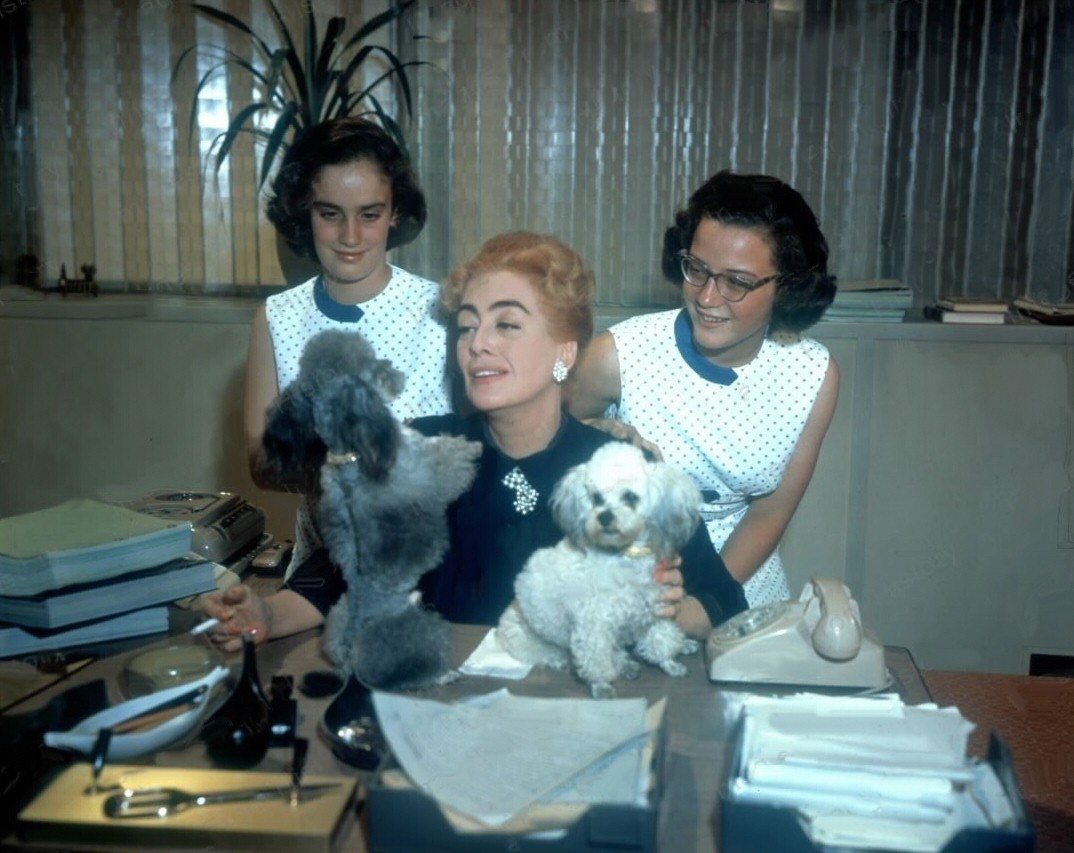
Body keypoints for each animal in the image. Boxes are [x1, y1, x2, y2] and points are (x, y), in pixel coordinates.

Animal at [496, 438, 700, 696]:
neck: (624, 556)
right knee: (563, 655)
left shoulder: (656, 608)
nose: (604, 517)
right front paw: (601, 685)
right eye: (596, 499)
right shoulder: (594, 625)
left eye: (630, 497)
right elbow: (597, 659)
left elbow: (662, 639)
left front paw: (669, 663)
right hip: (531, 642)